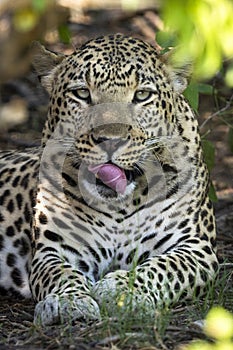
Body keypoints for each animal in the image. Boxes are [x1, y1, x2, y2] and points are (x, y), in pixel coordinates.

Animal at [0, 34, 218, 326]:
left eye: (142, 95)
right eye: (82, 93)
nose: (110, 141)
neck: (120, 205)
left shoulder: (196, 247)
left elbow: (162, 268)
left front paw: (121, 289)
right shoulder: (55, 249)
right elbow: (61, 274)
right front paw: (68, 301)